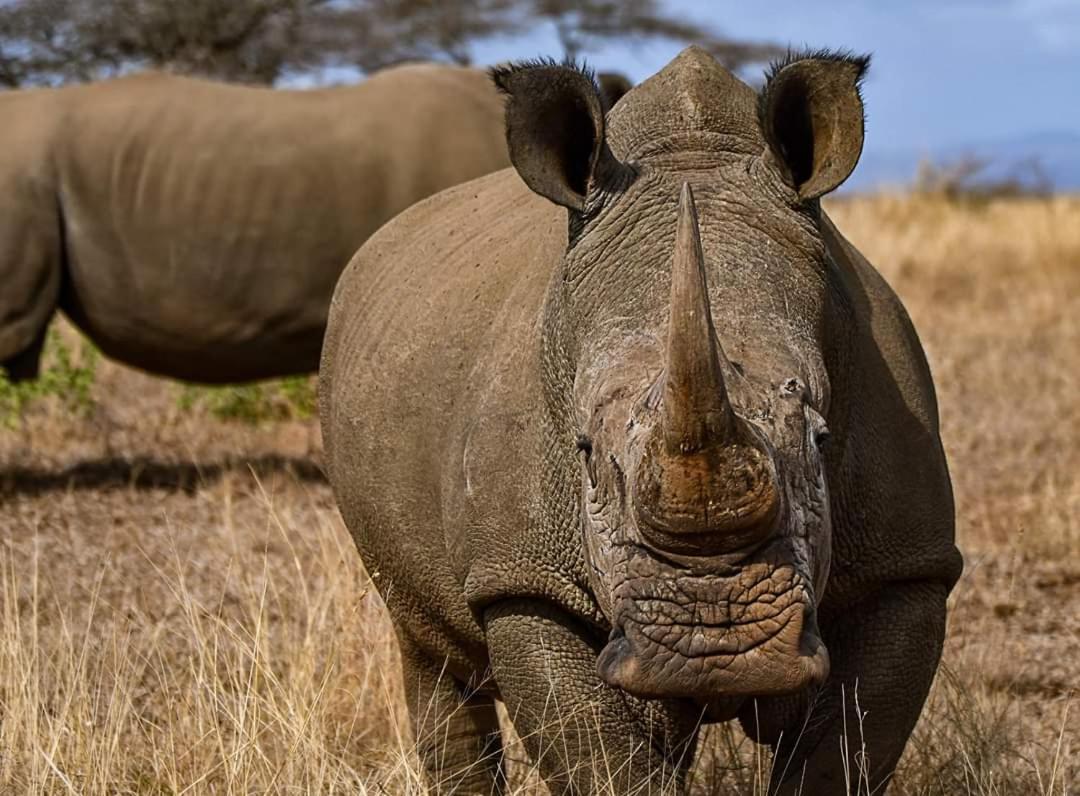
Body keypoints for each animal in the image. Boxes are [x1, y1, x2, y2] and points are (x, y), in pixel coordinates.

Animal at [317, 46, 963, 790]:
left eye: (822, 440)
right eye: (585, 452)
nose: (715, 646)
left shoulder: (908, 567)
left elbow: (844, 754)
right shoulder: (521, 579)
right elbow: (600, 757)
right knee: (433, 655)